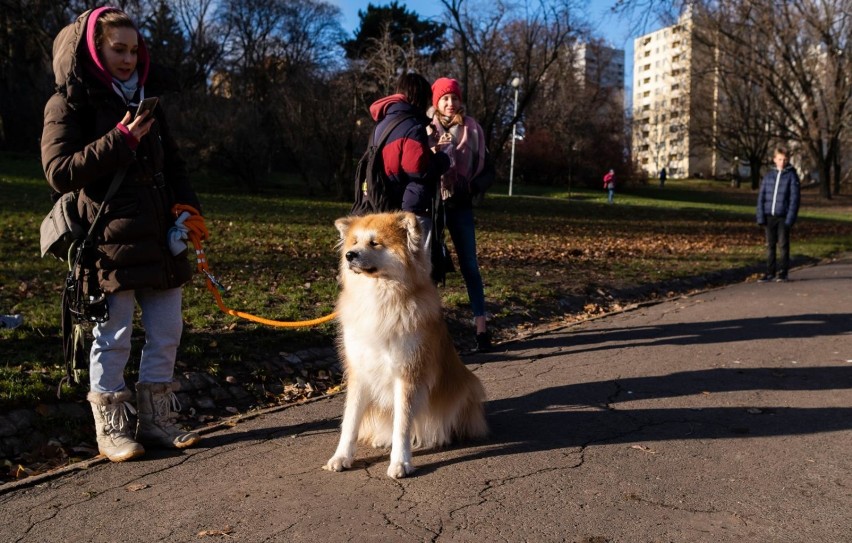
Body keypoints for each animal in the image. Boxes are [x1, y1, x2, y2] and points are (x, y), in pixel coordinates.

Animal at [324, 212, 486, 480]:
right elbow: (350, 421)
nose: (349, 255)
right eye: (354, 242)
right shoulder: (359, 371)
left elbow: (402, 424)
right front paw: (341, 457)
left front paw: (400, 462)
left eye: (375, 243)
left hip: (468, 386)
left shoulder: (408, 372)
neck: (379, 297)